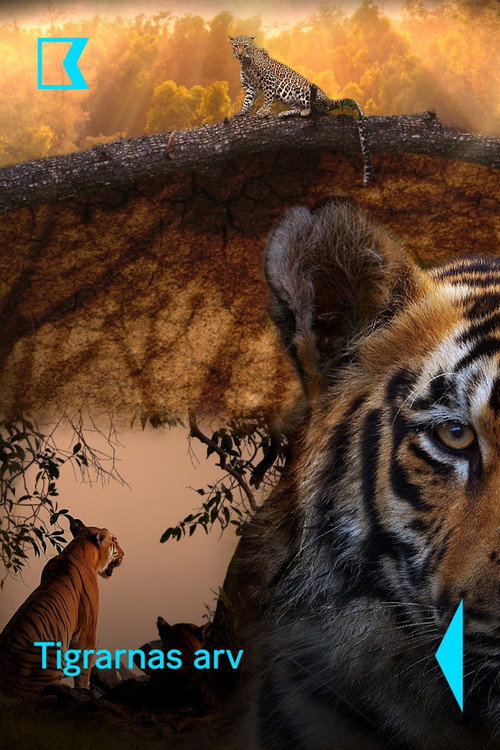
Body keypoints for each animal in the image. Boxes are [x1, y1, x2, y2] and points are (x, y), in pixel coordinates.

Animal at [0, 518, 124, 703]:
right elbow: (83, 668)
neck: (78, 548)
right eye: (114, 540)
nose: (124, 554)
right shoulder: (87, 631)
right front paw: (83, 690)